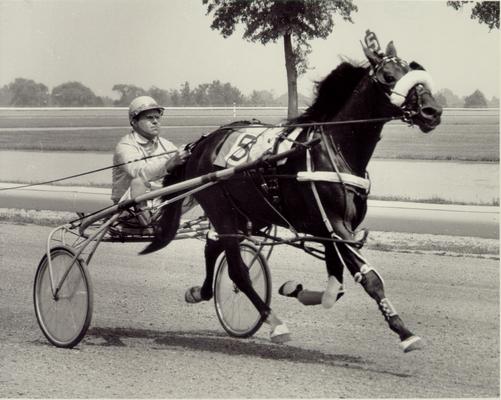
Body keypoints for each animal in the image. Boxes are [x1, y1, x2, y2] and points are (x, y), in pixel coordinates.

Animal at [141, 36, 442, 352]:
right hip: (221, 210)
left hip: (248, 214)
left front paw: (295, 289)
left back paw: (200, 291)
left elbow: (335, 288)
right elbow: (369, 278)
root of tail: (201, 143)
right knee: (238, 271)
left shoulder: (330, 230)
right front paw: (405, 332)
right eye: (387, 77)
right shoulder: (336, 226)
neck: (332, 148)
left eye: (413, 69)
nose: (432, 111)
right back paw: (275, 323)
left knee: (213, 247)